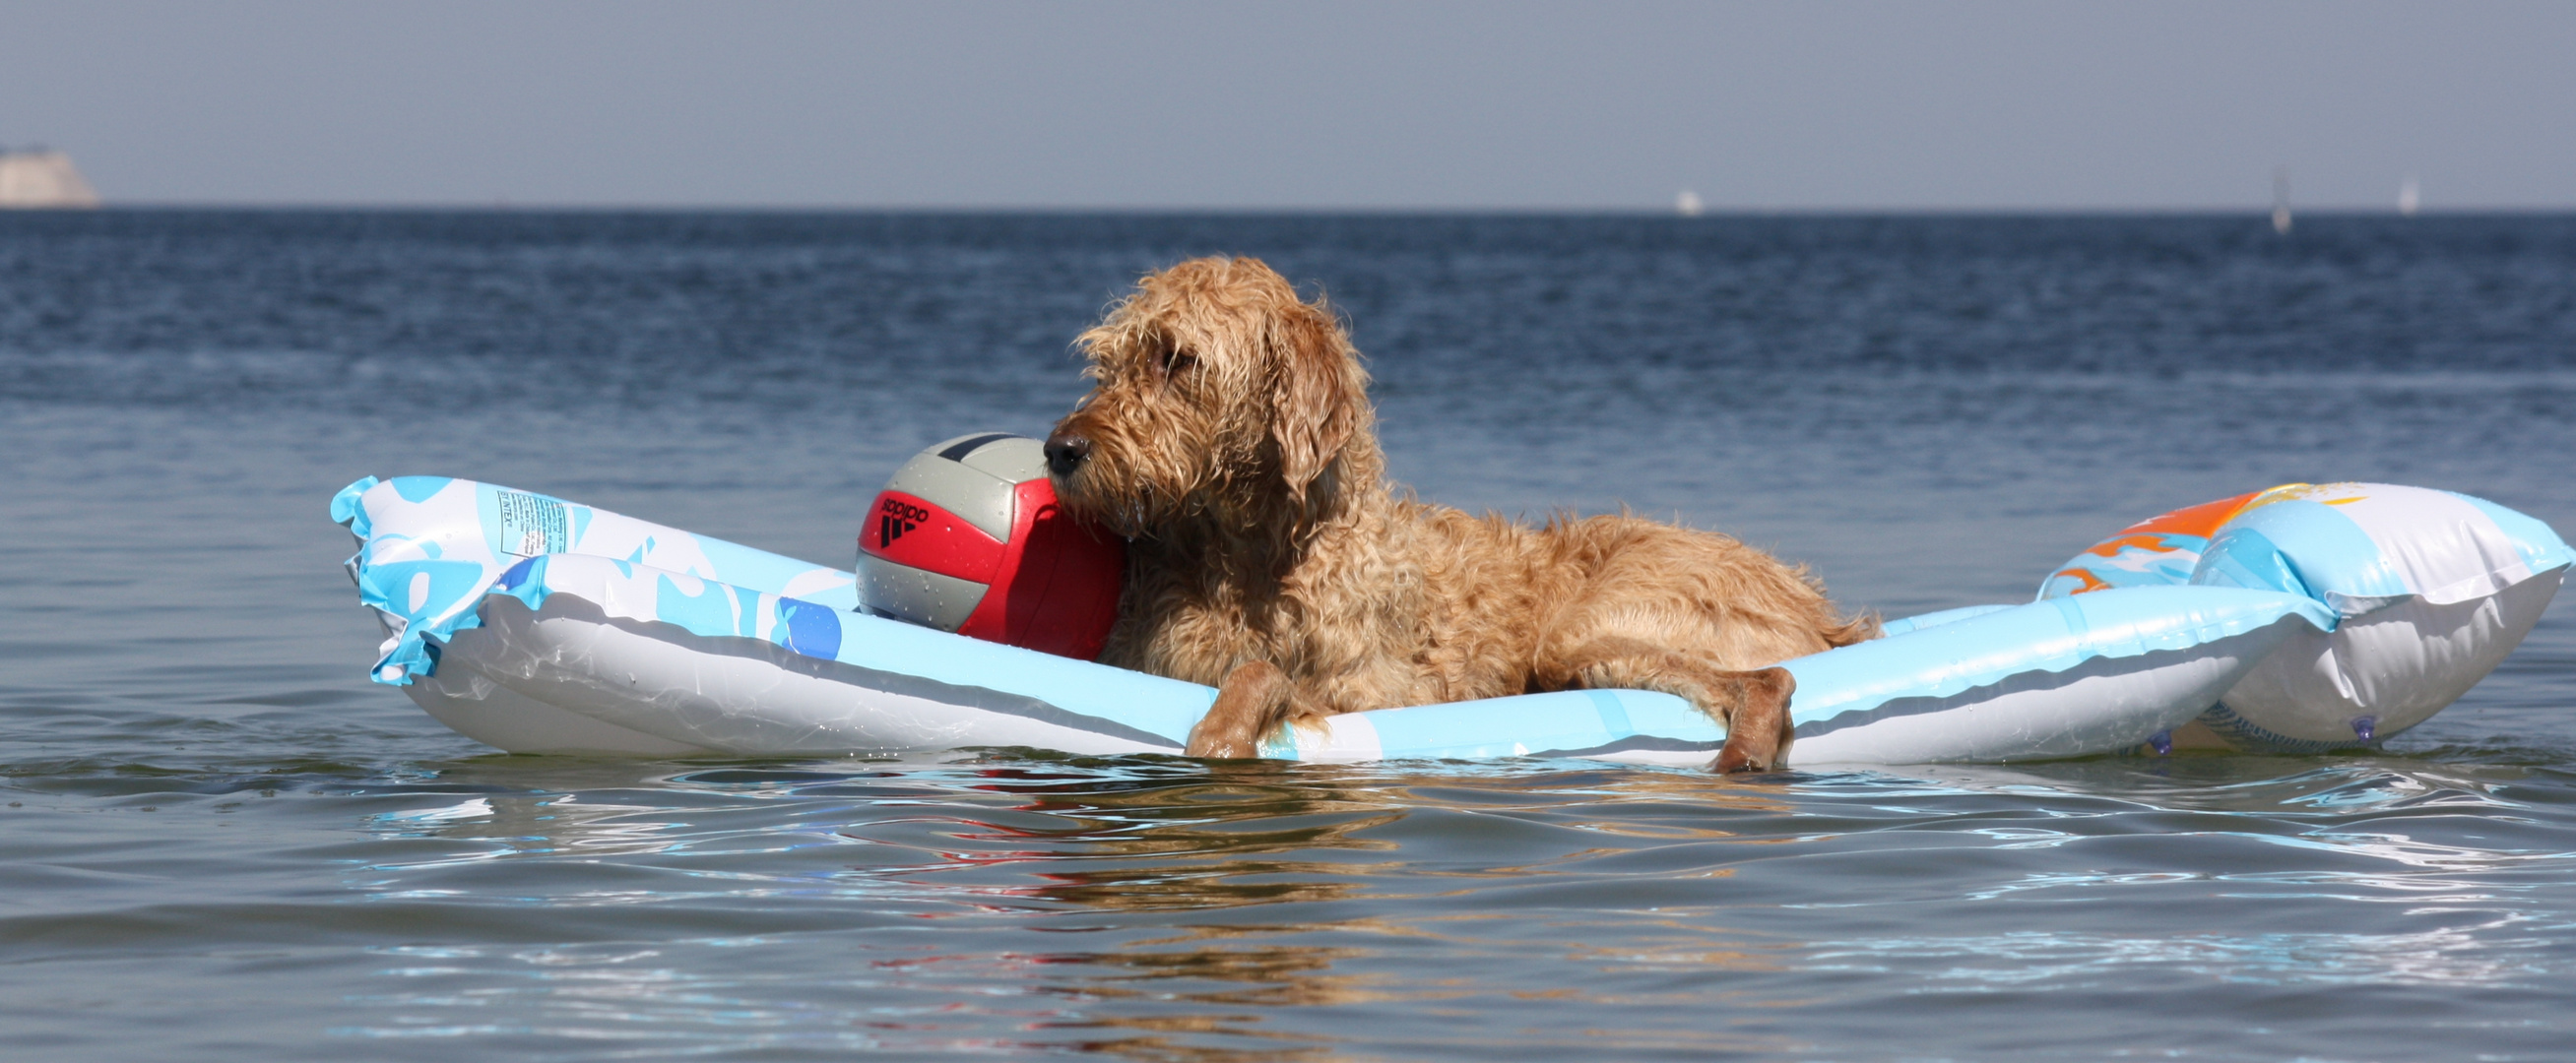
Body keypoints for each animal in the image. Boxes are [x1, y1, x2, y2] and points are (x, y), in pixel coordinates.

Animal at [1040, 257, 1875, 772]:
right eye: (1108, 362)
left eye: (1177, 358)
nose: (1061, 449)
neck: (1251, 553)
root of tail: (1825, 614)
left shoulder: (1390, 691)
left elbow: (1265, 672)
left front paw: (1222, 728)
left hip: (1587, 625)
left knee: (1770, 680)